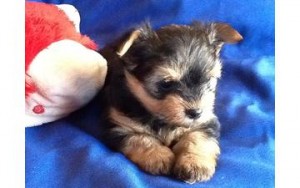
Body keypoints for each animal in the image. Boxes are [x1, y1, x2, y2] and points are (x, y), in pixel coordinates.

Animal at [99, 22, 243, 184]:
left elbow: (198, 137)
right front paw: (159, 156)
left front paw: (195, 164)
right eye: (166, 84)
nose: (196, 112)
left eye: (208, 80)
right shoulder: (120, 125)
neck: (163, 119)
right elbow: (140, 138)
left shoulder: (205, 121)